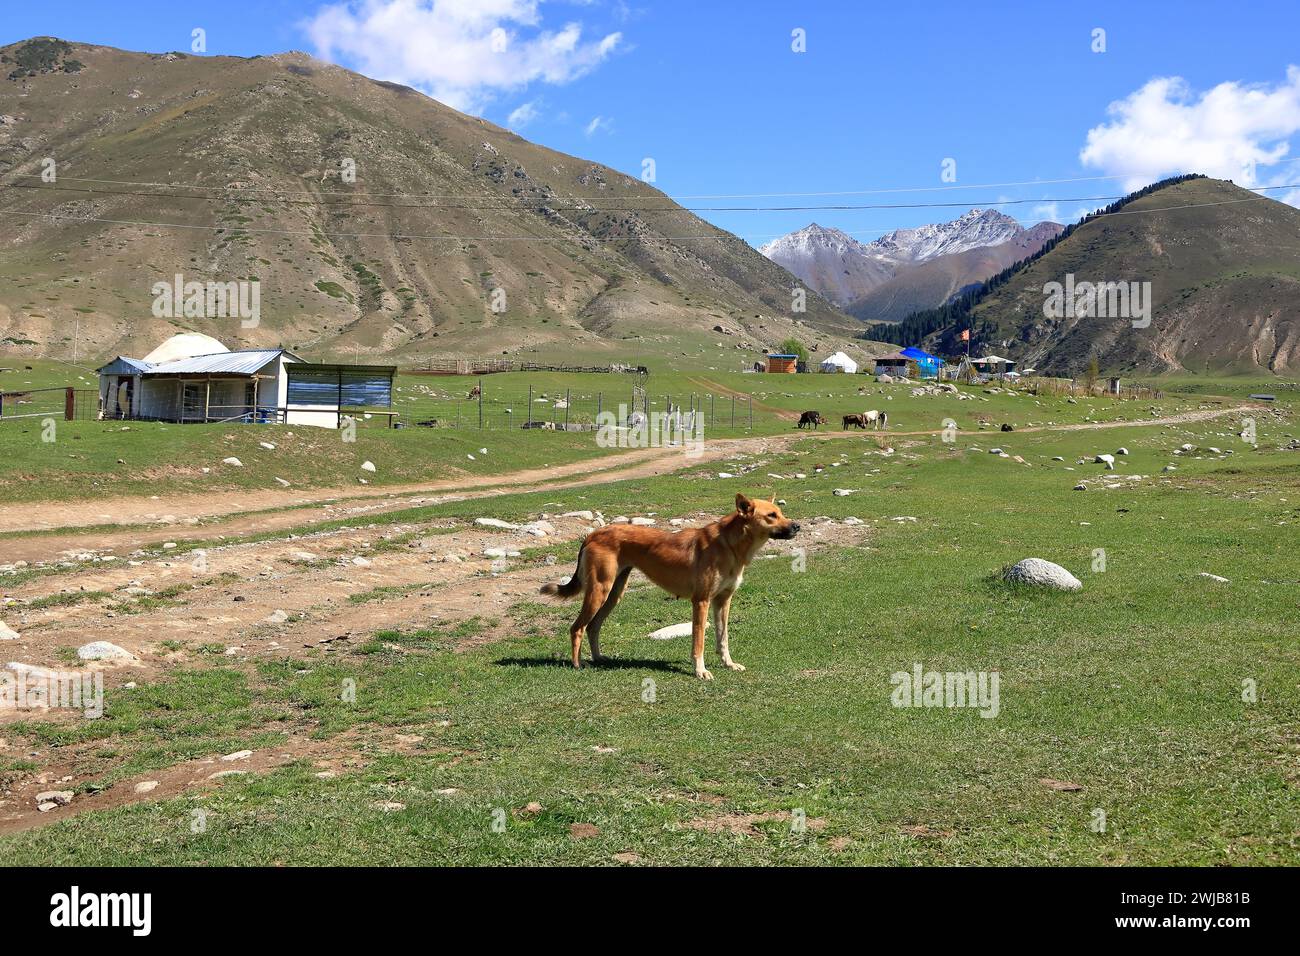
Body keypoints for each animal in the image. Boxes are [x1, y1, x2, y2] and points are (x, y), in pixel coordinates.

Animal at [540, 496, 800, 676]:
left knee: (593, 627)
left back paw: (599, 658)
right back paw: (578, 664)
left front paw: (729, 664)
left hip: (613, 594)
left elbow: (723, 638)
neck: (729, 545)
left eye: (781, 513)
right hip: (598, 591)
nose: (797, 526)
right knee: (577, 628)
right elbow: (699, 642)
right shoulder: (701, 602)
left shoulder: (723, 601)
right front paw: (700, 672)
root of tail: (593, 533)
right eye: (771, 515)